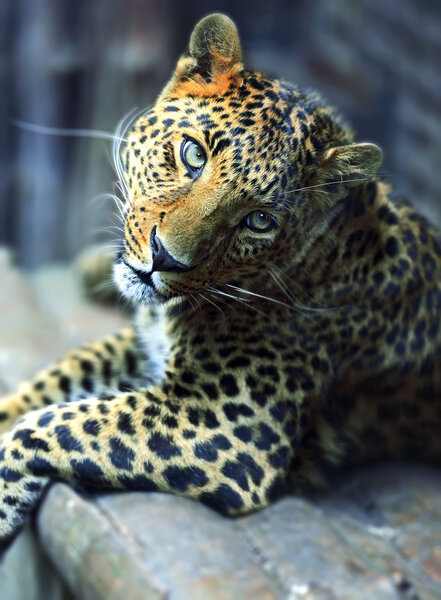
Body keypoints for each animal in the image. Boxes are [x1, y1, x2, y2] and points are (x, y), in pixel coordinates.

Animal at [0, 12, 440, 556]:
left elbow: (56, 425)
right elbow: (58, 380)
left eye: (259, 221)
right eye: (192, 154)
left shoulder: (230, 424)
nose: (164, 258)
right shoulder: (148, 346)